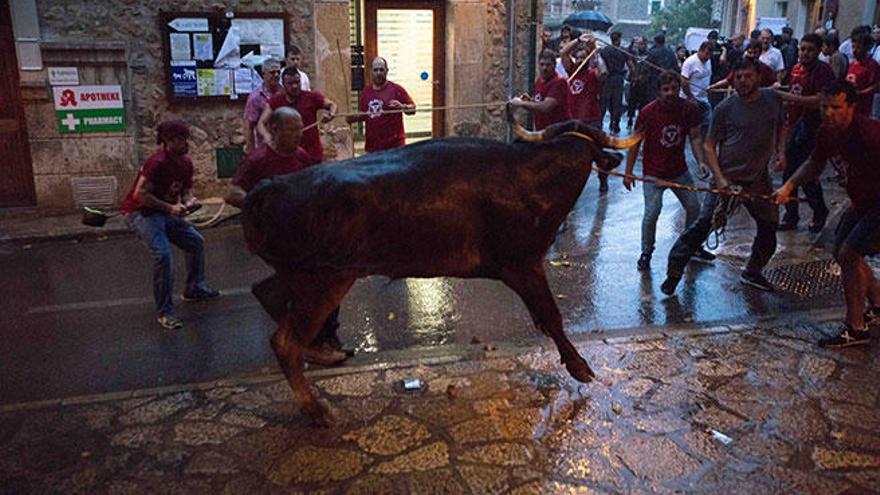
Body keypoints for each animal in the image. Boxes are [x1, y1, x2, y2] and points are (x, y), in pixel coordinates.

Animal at [241, 113, 640, 426]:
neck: (531, 177)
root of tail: (271, 186)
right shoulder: (524, 265)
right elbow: (552, 317)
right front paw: (579, 366)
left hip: (303, 274)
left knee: (266, 294)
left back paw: (319, 355)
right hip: (325, 278)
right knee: (285, 340)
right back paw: (316, 408)